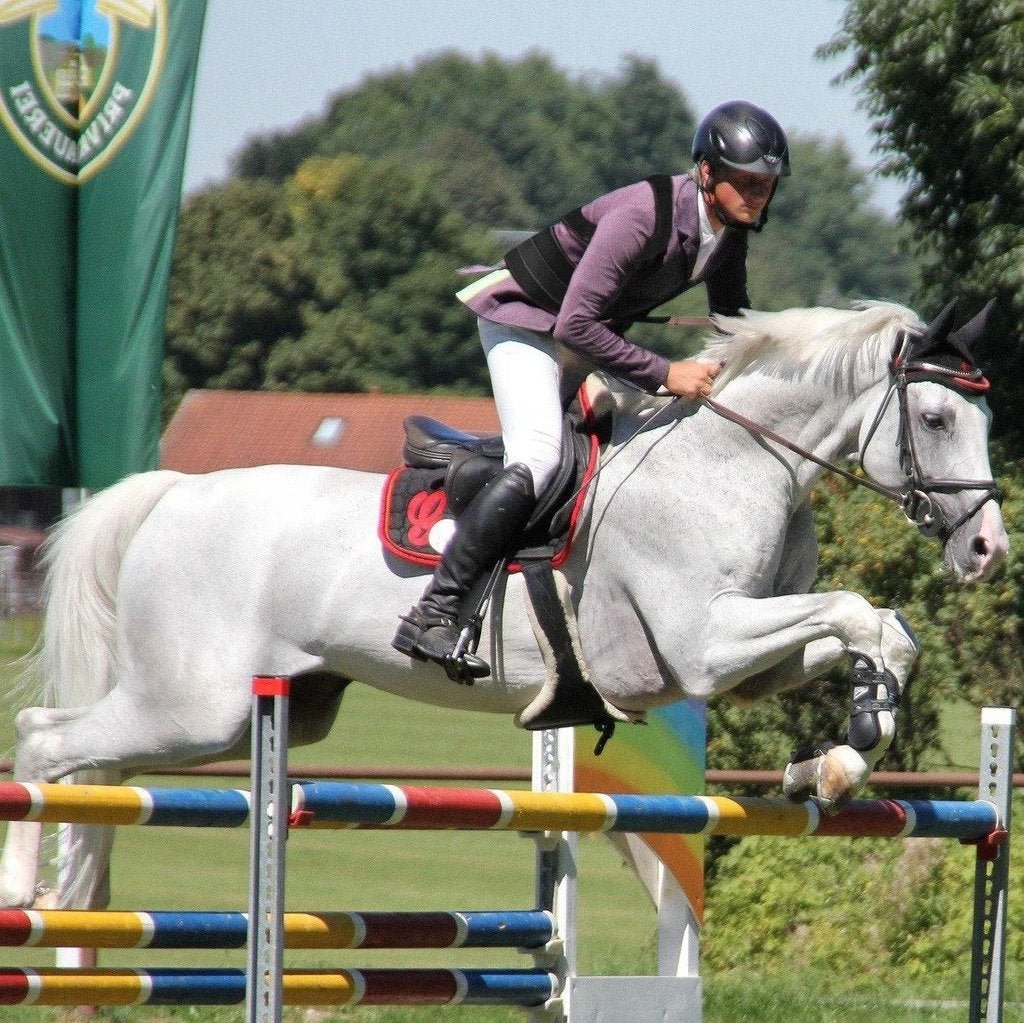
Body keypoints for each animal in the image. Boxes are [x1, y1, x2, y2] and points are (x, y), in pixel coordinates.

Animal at [0, 299, 1007, 913]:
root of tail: (170, 492)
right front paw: (846, 750)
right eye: (938, 419)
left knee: (94, 757)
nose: (988, 549)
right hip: (192, 702)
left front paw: (838, 754)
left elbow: (877, 627)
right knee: (50, 737)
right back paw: (27, 891)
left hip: (256, 710)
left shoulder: (746, 655)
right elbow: (858, 610)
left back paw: (77, 887)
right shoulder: (701, 645)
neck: (731, 461)